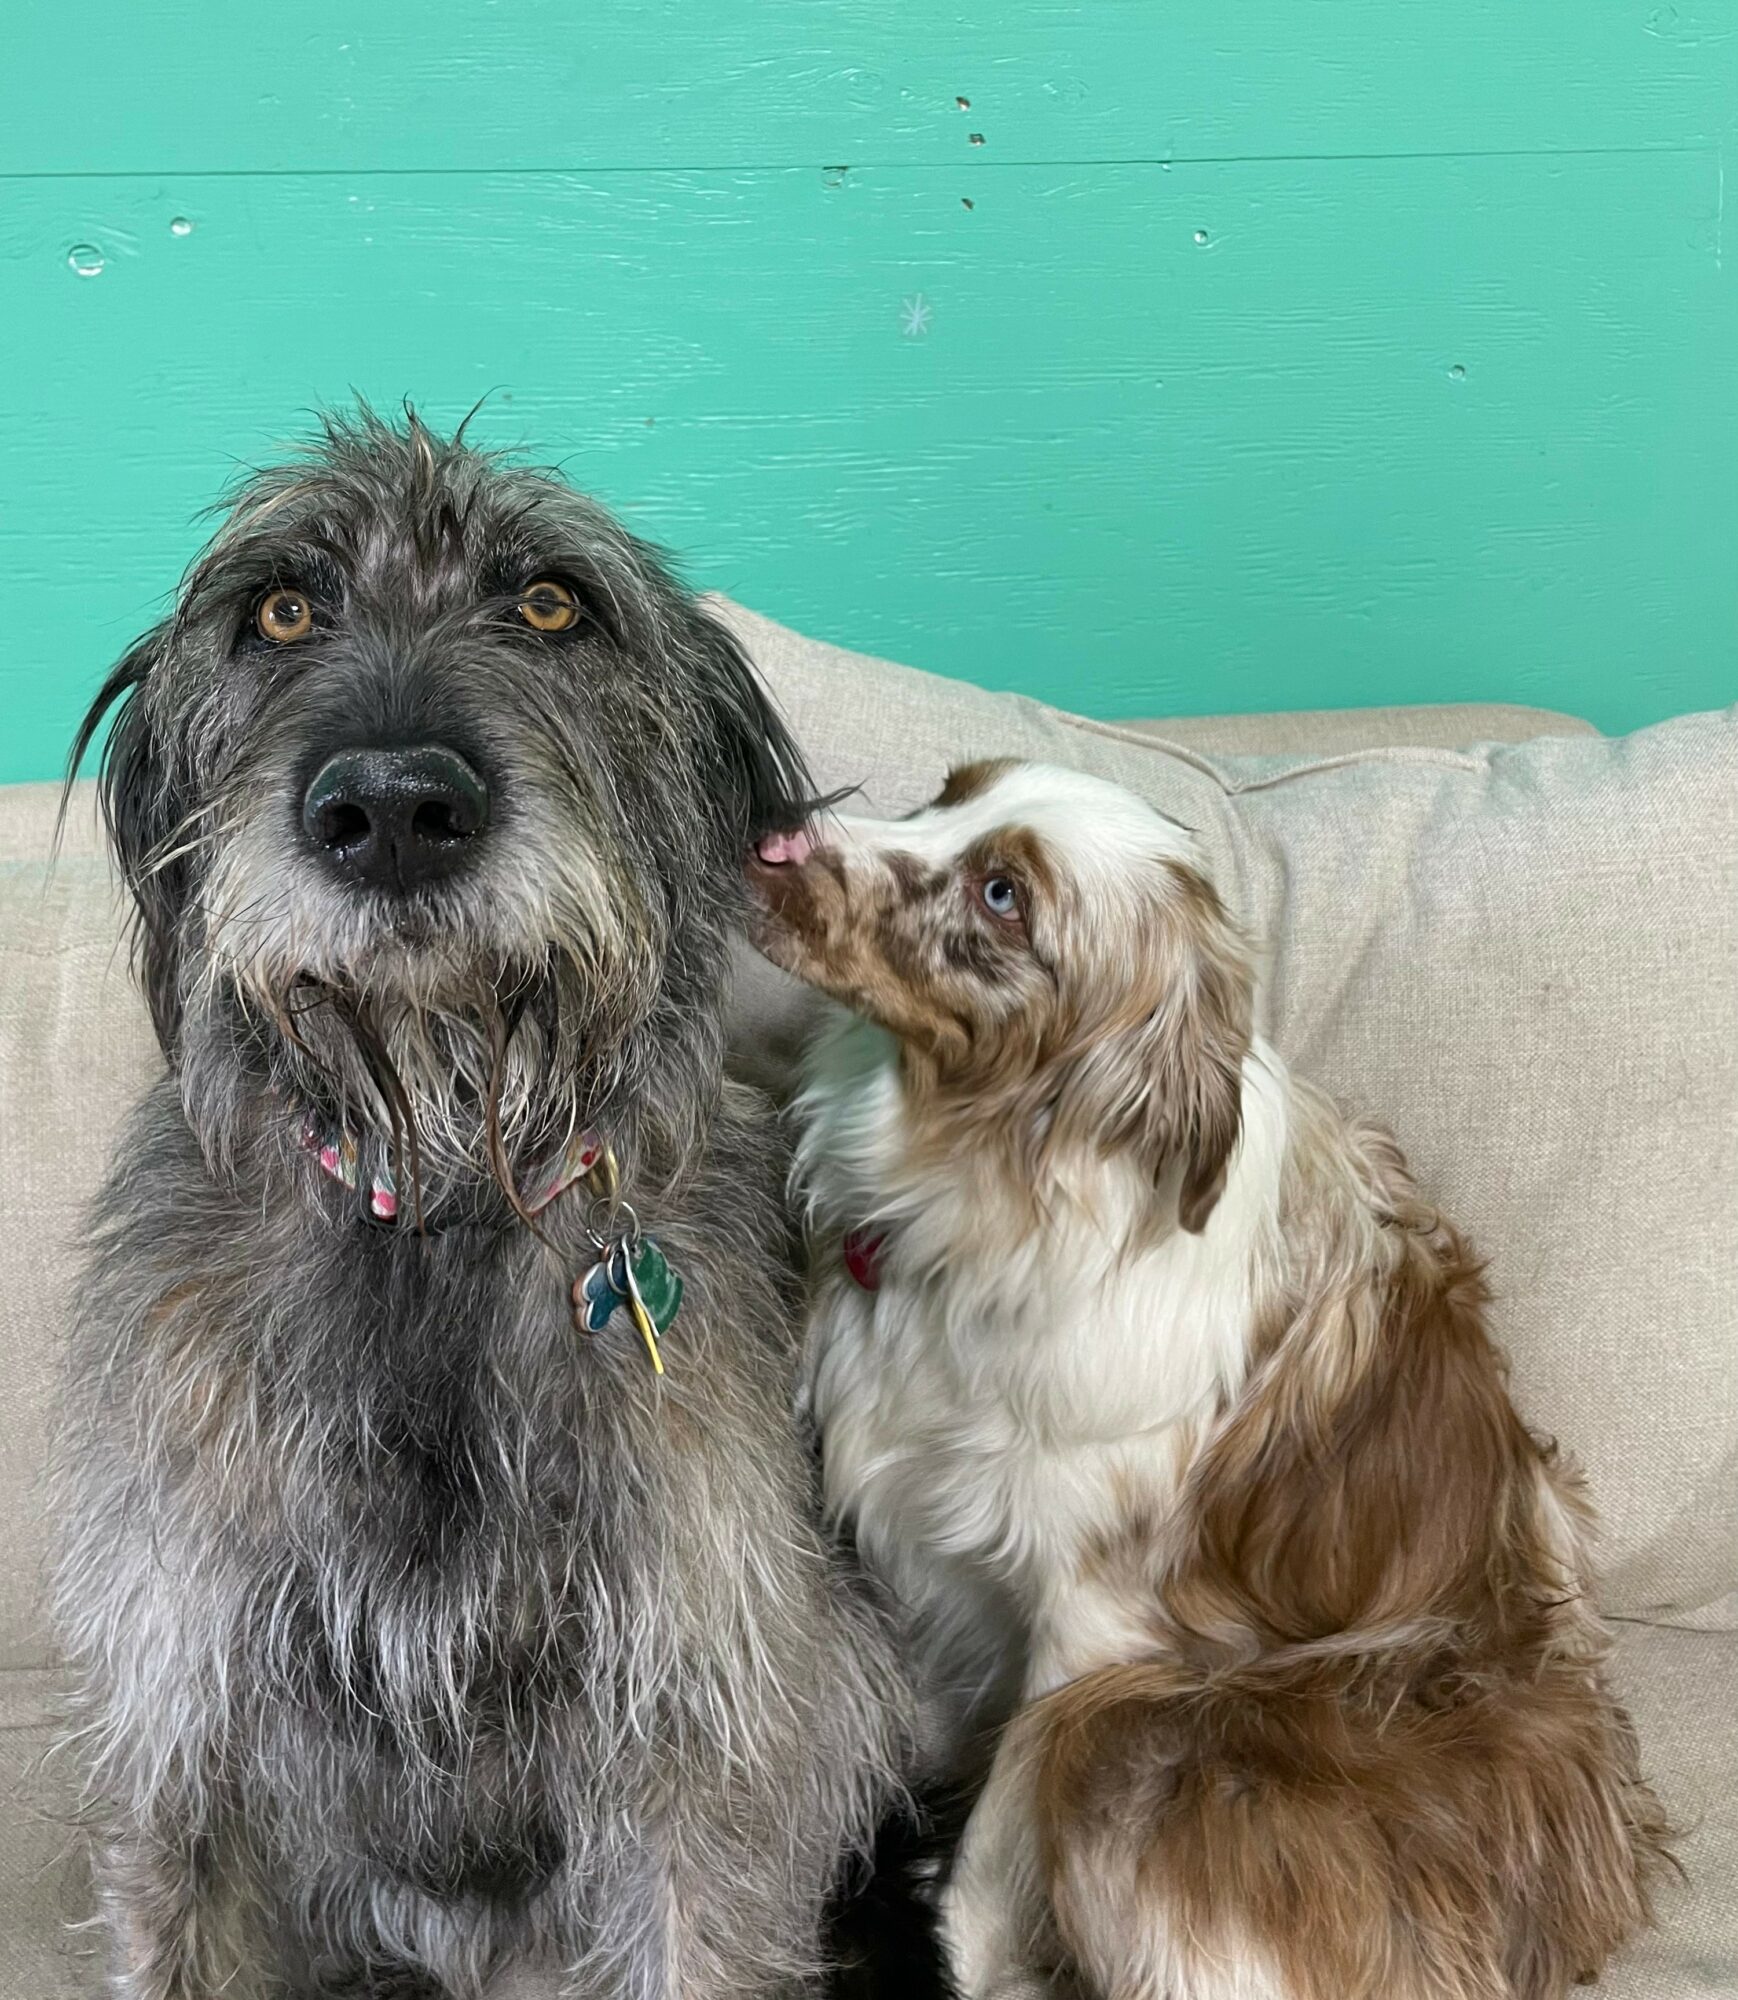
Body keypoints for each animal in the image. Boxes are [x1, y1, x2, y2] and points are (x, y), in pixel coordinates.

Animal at [53, 407, 907, 1999]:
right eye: (278, 609)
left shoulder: (701, 1749)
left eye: (554, 603)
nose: (392, 810)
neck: (442, 1190)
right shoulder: (181, 1728)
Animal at [747, 759, 1670, 2000]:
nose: (770, 839)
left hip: (1140, 1734)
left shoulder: (1092, 1626)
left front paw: (948, 1937)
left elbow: (992, 1849)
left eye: (1003, 895)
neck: (998, 1190)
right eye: (948, 788)